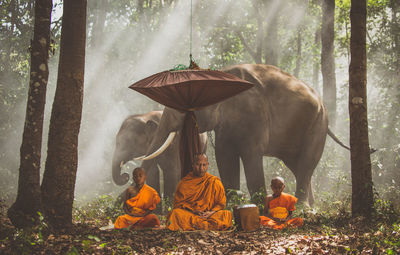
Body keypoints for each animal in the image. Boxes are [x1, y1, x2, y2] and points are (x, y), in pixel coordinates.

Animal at [140, 63, 332, 205]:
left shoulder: (254, 114)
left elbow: (251, 154)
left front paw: (259, 206)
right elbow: (224, 156)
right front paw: (231, 204)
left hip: (318, 124)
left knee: (307, 162)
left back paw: (302, 207)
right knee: (297, 165)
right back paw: (311, 206)